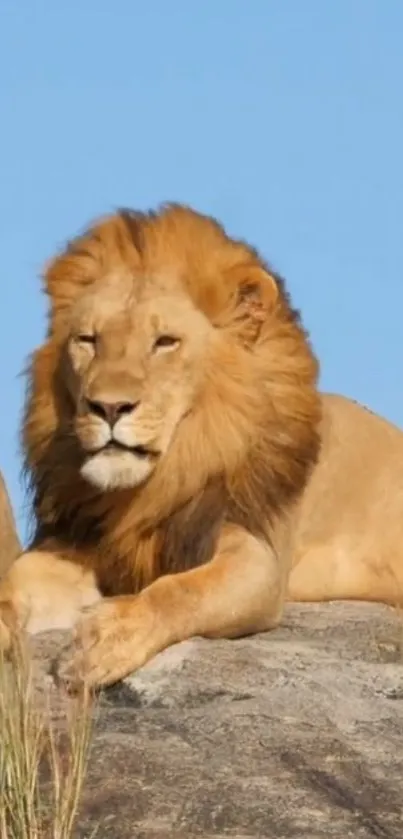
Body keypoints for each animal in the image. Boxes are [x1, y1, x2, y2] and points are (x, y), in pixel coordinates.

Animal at [0, 203, 402, 688]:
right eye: (88, 340)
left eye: (164, 342)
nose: (108, 407)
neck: (162, 479)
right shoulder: (79, 543)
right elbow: (15, 582)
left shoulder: (257, 553)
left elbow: (181, 590)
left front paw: (107, 637)